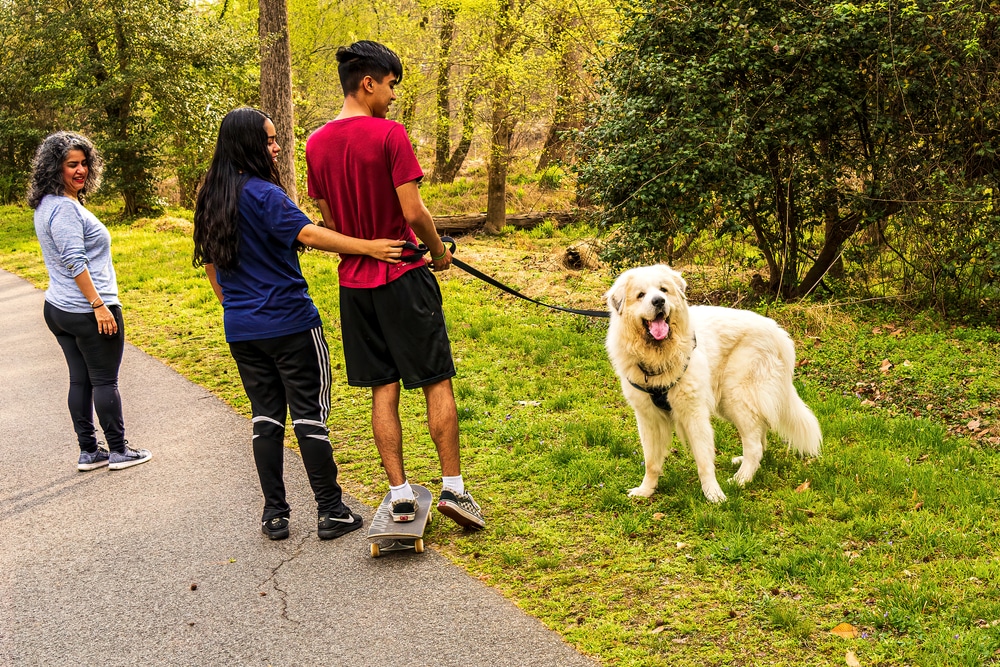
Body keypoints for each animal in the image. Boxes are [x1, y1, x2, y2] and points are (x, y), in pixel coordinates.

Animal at [600, 264, 820, 504]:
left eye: (663, 290)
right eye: (640, 295)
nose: (658, 301)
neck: (659, 357)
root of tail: (779, 333)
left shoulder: (694, 413)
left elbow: (704, 460)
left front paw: (713, 494)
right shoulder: (648, 418)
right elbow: (651, 461)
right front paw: (646, 490)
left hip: (738, 397)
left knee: (754, 445)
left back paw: (740, 479)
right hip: (730, 402)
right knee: (759, 436)